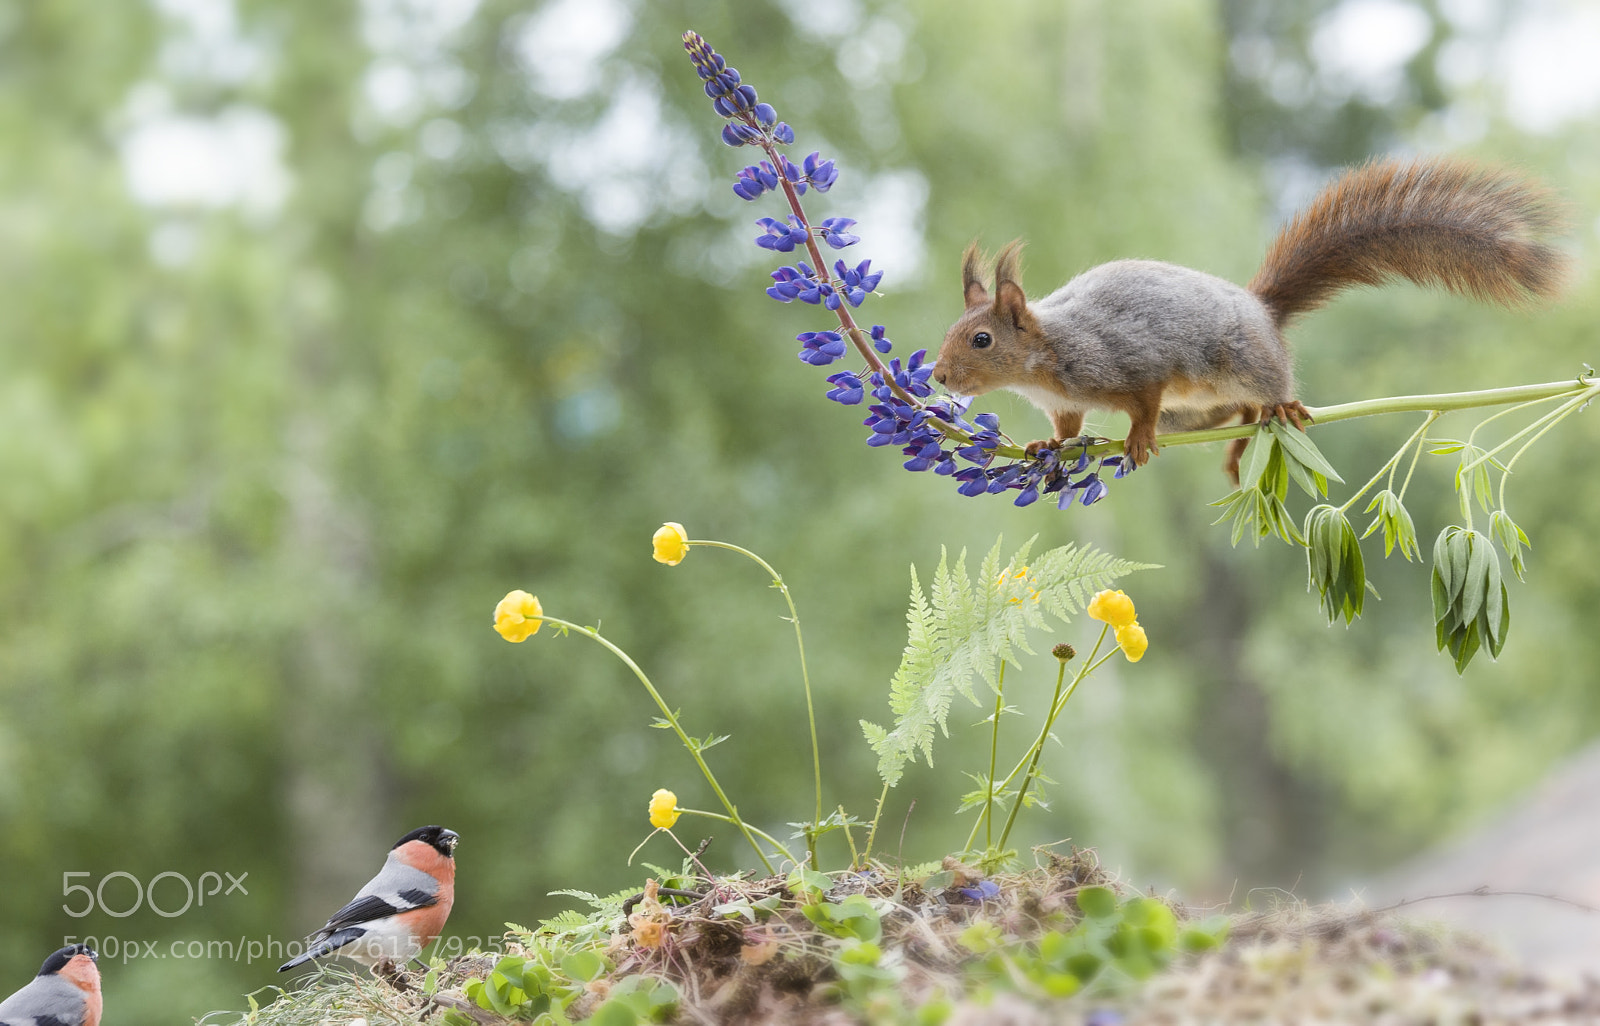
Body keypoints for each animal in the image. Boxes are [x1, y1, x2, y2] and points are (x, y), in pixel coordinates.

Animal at [932, 158, 1569, 483]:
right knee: (1232, 412)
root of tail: (1262, 310)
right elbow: (1067, 428)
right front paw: (1048, 445)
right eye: (951, 334)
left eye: (981, 339)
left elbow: (1143, 401)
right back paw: (1240, 442)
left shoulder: (1126, 360)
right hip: (1198, 407)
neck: (1045, 357)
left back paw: (1278, 411)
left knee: (1263, 392)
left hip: (1240, 363)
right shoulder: (1065, 402)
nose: (937, 376)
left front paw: (1137, 438)